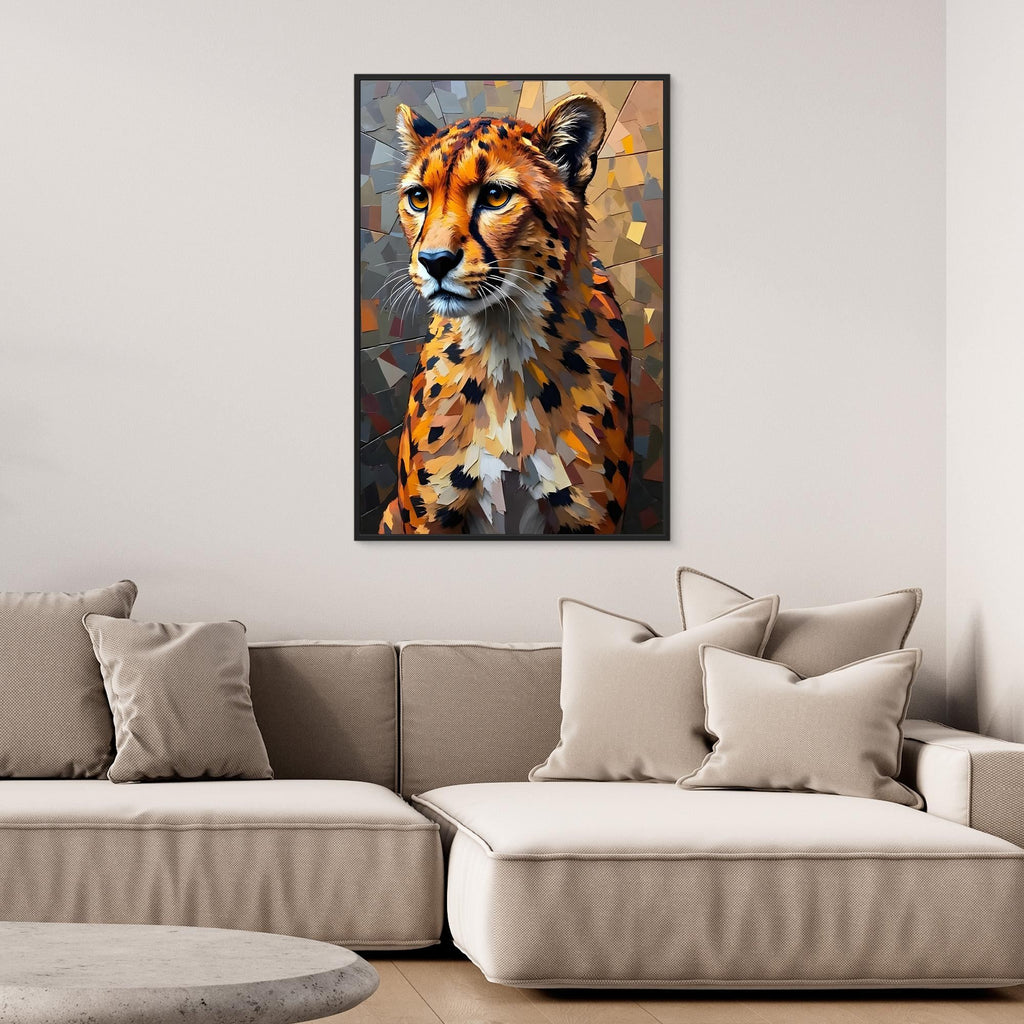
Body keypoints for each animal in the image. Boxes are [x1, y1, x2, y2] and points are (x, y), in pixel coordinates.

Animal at [378, 94, 633, 535]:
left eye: (496, 195)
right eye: (418, 198)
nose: (434, 261)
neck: (504, 339)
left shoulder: (588, 518)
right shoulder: (430, 518)